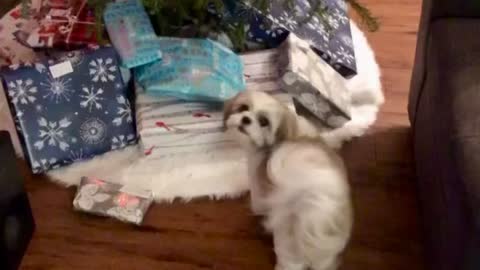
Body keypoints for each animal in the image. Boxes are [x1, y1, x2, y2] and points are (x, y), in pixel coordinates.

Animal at [225, 91, 352, 270]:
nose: (245, 119)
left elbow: (257, 203)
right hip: (326, 254)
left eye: (264, 122)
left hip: (287, 242)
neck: (287, 133)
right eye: (243, 108)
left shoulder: (258, 182)